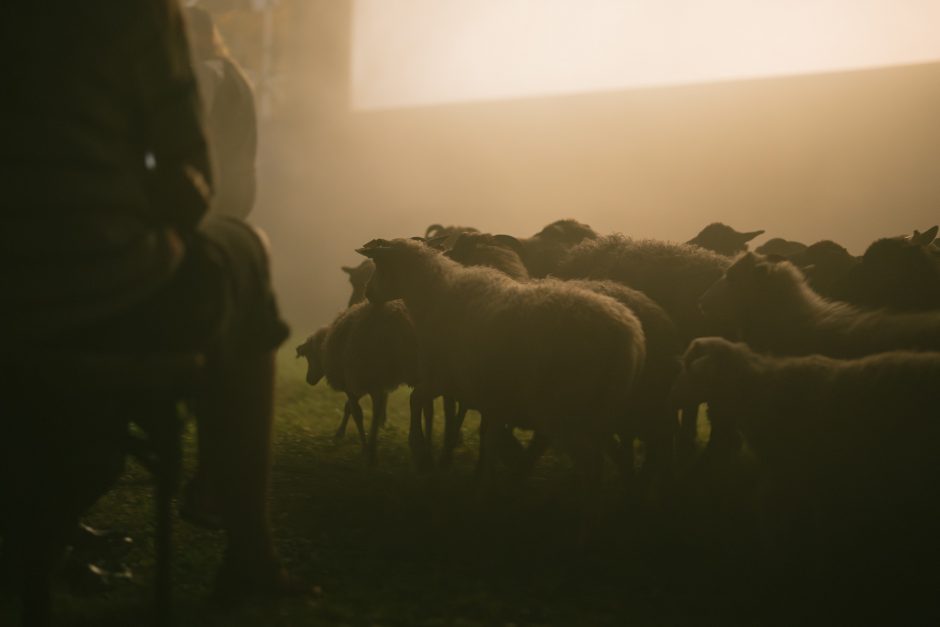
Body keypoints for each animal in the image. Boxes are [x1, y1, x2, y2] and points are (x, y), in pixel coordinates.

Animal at [296, 300, 416, 466]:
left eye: (309, 355)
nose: (309, 380)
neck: (325, 346)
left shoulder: (354, 382)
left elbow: (357, 413)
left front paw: (363, 447)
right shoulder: (361, 385)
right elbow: (350, 408)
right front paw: (340, 434)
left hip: (375, 373)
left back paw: (373, 449)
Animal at [354, 238, 648, 508]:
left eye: (380, 264)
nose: (368, 293)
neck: (435, 295)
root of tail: (628, 335)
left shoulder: (446, 378)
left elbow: (417, 400)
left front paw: (422, 454)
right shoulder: (488, 392)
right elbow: (491, 436)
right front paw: (492, 480)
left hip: (565, 408)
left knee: (591, 465)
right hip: (599, 410)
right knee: (612, 458)